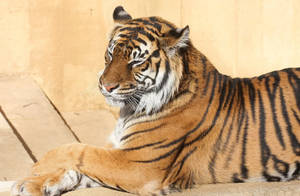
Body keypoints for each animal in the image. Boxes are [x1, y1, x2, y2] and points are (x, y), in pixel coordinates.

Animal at [11, 5, 300, 196]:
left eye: (136, 61)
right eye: (110, 54)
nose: (106, 86)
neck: (129, 110)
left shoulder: (138, 163)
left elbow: (79, 150)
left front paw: (38, 167)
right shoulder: (122, 153)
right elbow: (80, 167)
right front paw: (33, 184)